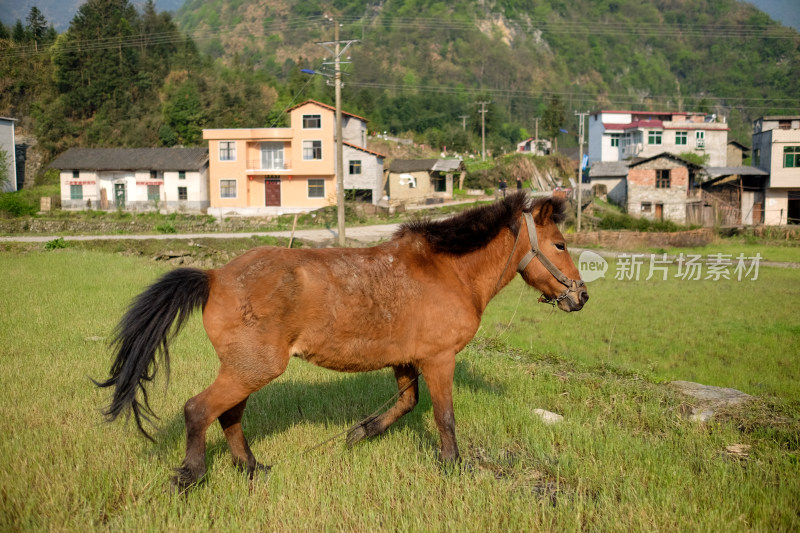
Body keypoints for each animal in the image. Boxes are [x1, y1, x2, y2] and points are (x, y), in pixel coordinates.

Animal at [98, 193, 588, 488]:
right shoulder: (439, 360)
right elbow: (444, 418)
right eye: (561, 244)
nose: (581, 296)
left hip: (245, 369)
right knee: (199, 410)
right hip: (252, 368)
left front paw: (358, 434)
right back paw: (192, 475)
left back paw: (253, 468)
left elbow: (406, 404)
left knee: (229, 415)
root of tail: (214, 275)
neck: (447, 271)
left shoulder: (406, 361)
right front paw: (452, 467)